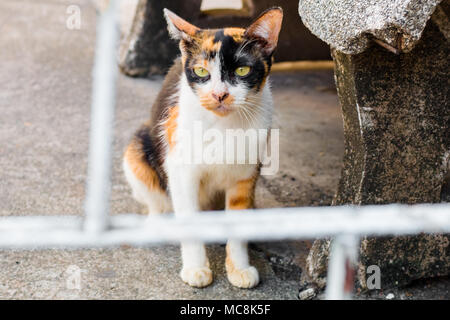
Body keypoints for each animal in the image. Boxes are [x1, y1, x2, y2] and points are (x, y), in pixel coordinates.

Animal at [123, 7, 284, 288]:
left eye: (242, 70)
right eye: (200, 71)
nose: (220, 94)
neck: (224, 126)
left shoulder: (247, 173)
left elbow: (238, 218)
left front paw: (239, 268)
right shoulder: (180, 168)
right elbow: (188, 216)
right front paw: (196, 269)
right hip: (138, 150)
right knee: (156, 202)